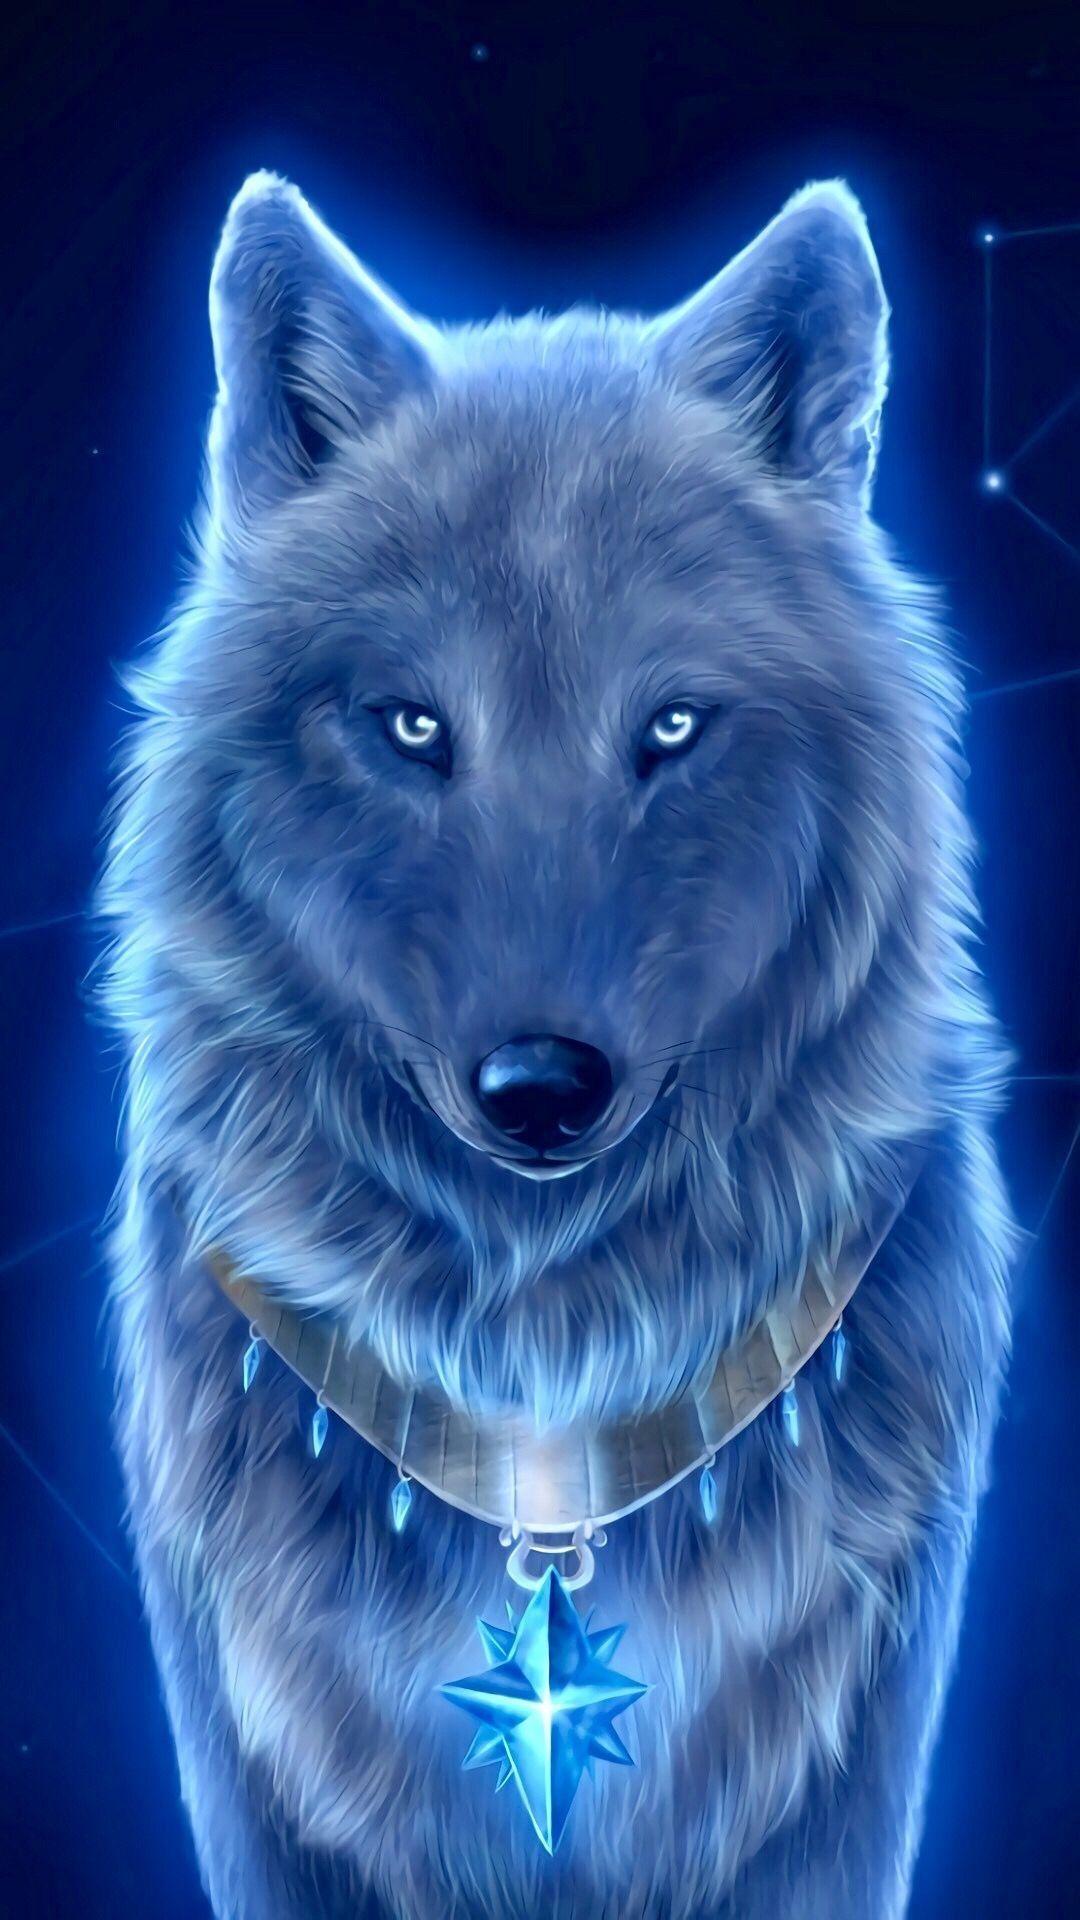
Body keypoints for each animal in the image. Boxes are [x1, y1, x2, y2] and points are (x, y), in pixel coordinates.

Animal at [101, 169, 1013, 1920]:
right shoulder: (257, 1782)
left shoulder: (844, 1783)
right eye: (410, 726)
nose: (540, 1092)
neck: (544, 1413)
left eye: (670, 727)